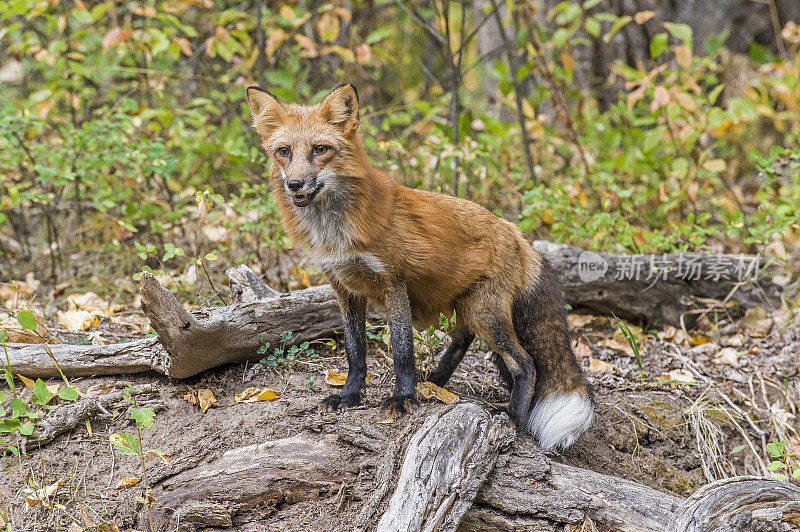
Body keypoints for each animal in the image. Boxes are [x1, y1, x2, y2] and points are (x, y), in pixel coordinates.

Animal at [248, 83, 592, 448]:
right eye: (284, 151)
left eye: (320, 149)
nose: (294, 184)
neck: (336, 232)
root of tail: (515, 233)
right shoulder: (344, 288)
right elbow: (356, 352)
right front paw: (351, 396)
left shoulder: (393, 282)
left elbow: (402, 351)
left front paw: (403, 399)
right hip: (464, 307)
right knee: (465, 340)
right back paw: (435, 381)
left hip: (484, 312)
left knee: (525, 363)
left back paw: (513, 418)